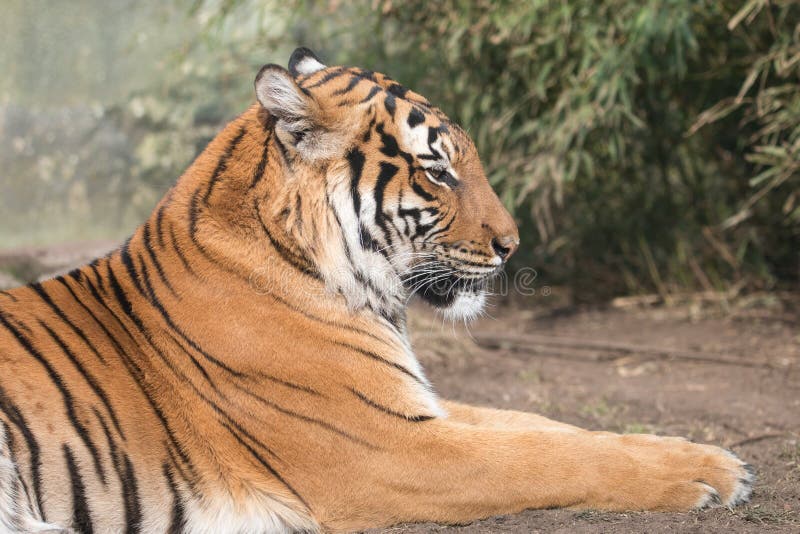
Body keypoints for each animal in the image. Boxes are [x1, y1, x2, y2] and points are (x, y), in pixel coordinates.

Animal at [0, 48, 756, 532]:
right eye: (437, 171)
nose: (514, 244)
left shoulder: (413, 405)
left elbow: (551, 427)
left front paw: (702, 452)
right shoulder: (390, 449)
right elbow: (548, 456)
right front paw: (706, 478)